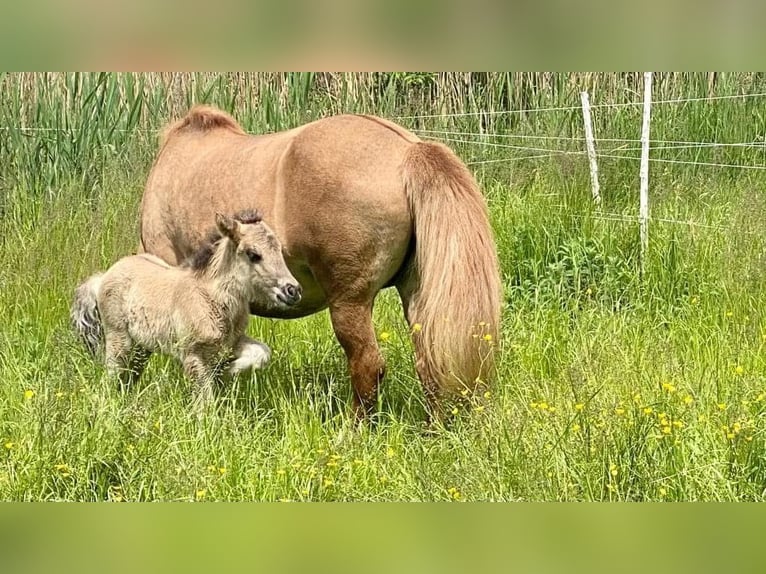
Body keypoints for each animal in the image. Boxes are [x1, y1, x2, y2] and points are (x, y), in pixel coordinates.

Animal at [70, 212, 304, 404]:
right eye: (253, 254)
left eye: (279, 250)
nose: (293, 290)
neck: (209, 297)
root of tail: (102, 277)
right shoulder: (194, 355)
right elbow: (204, 401)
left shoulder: (230, 343)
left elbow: (262, 352)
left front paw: (228, 370)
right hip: (119, 339)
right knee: (112, 375)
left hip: (141, 345)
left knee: (129, 376)